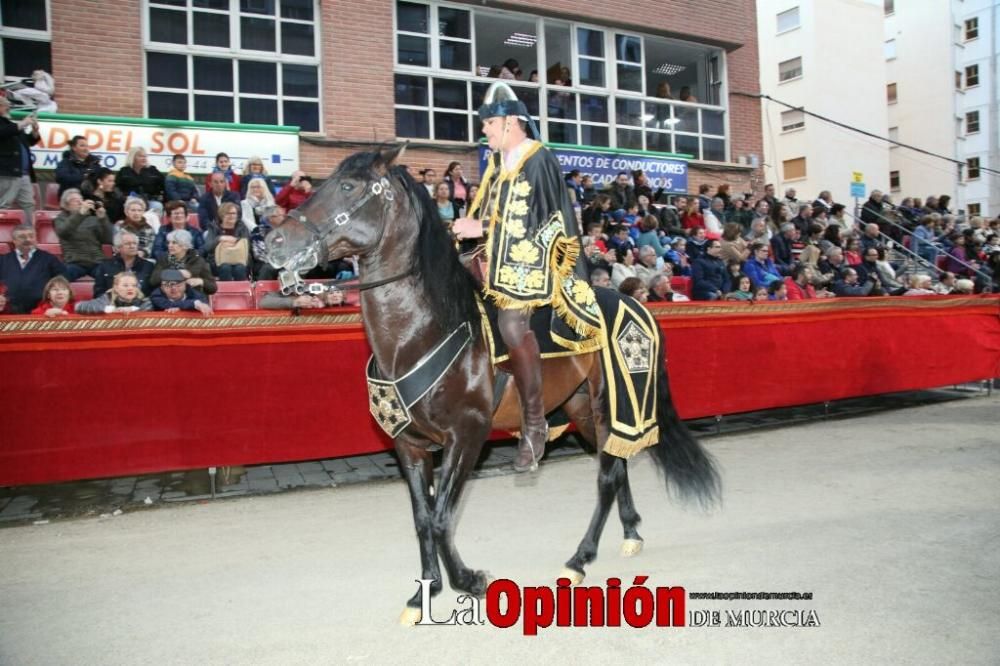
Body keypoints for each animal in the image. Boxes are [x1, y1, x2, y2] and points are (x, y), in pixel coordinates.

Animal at [266, 145, 720, 624]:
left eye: (349, 186)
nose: (274, 242)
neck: (420, 333)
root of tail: (635, 302)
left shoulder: (467, 436)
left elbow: (442, 517)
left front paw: (470, 580)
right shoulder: (409, 446)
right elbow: (422, 518)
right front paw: (424, 593)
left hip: (609, 405)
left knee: (607, 476)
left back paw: (579, 558)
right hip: (583, 409)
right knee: (616, 466)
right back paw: (629, 532)